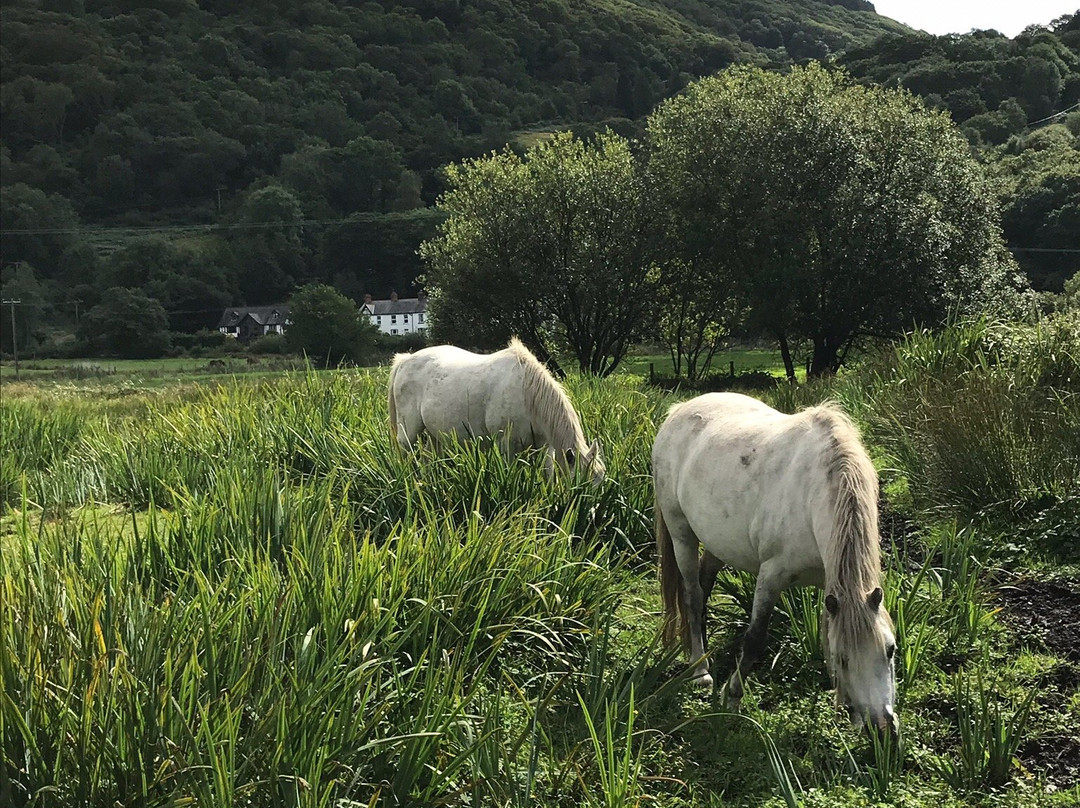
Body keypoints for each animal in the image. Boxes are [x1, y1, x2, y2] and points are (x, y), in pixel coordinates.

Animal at [388, 337, 609, 483]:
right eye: (581, 483)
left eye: (600, 481)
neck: (526, 393)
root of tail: (405, 361)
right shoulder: (507, 445)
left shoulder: (546, 448)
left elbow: (548, 475)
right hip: (408, 432)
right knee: (405, 452)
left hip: (436, 435)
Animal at [652, 391, 898, 730]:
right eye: (845, 658)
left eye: (890, 650)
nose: (884, 729)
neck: (812, 495)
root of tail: (678, 411)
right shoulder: (771, 575)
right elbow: (755, 638)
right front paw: (732, 698)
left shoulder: (831, 584)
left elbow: (827, 631)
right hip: (681, 534)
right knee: (692, 594)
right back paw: (700, 670)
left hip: (718, 543)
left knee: (704, 584)